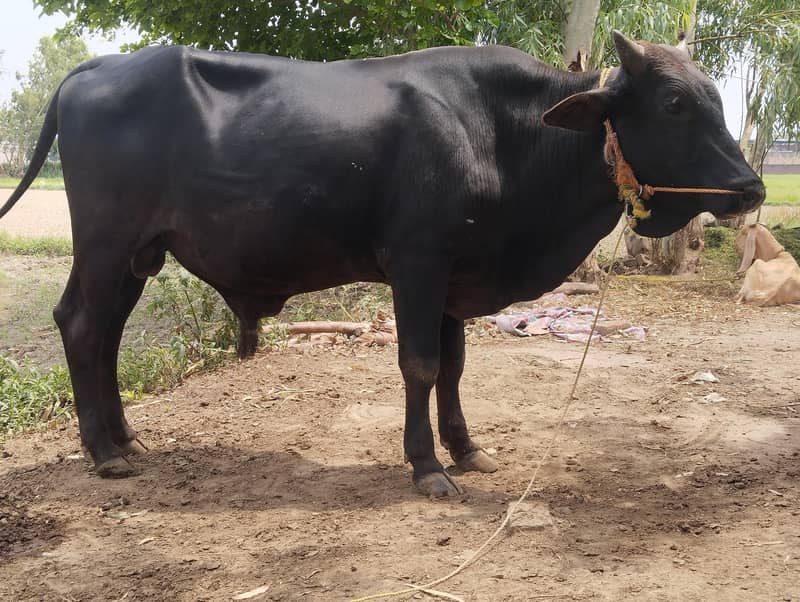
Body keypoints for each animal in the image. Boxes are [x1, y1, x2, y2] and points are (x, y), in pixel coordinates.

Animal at [0, 32, 764, 497]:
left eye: (715, 98)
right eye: (674, 103)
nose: (751, 188)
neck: (501, 135)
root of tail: (100, 67)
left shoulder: (456, 276)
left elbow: (454, 368)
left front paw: (466, 448)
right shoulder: (418, 263)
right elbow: (420, 366)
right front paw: (426, 466)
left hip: (138, 254)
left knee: (102, 335)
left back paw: (125, 440)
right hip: (105, 244)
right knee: (81, 326)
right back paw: (103, 453)